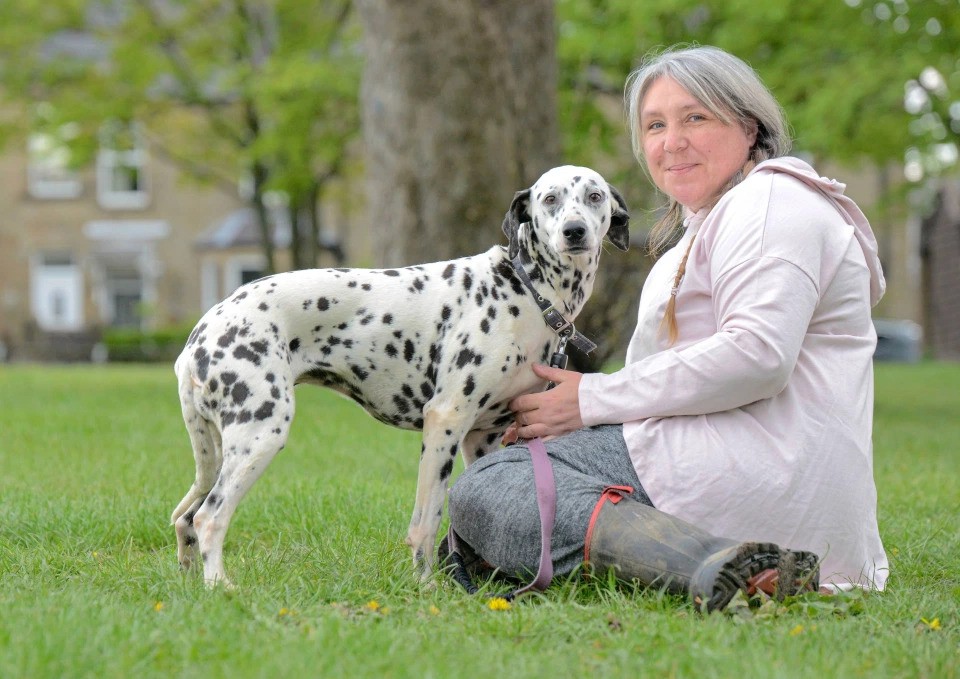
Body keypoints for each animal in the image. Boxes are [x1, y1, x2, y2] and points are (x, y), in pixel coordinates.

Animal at [171, 165, 632, 584]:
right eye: (550, 199)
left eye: (594, 196)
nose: (574, 231)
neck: (527, 290)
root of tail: (200, 334)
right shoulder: (445, 421)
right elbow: (426, 522)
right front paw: (426, 587)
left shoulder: (483, 437)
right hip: (261, 433)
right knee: (209, 517)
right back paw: (220, 586)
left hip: (220, 452)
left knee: (185, 516)